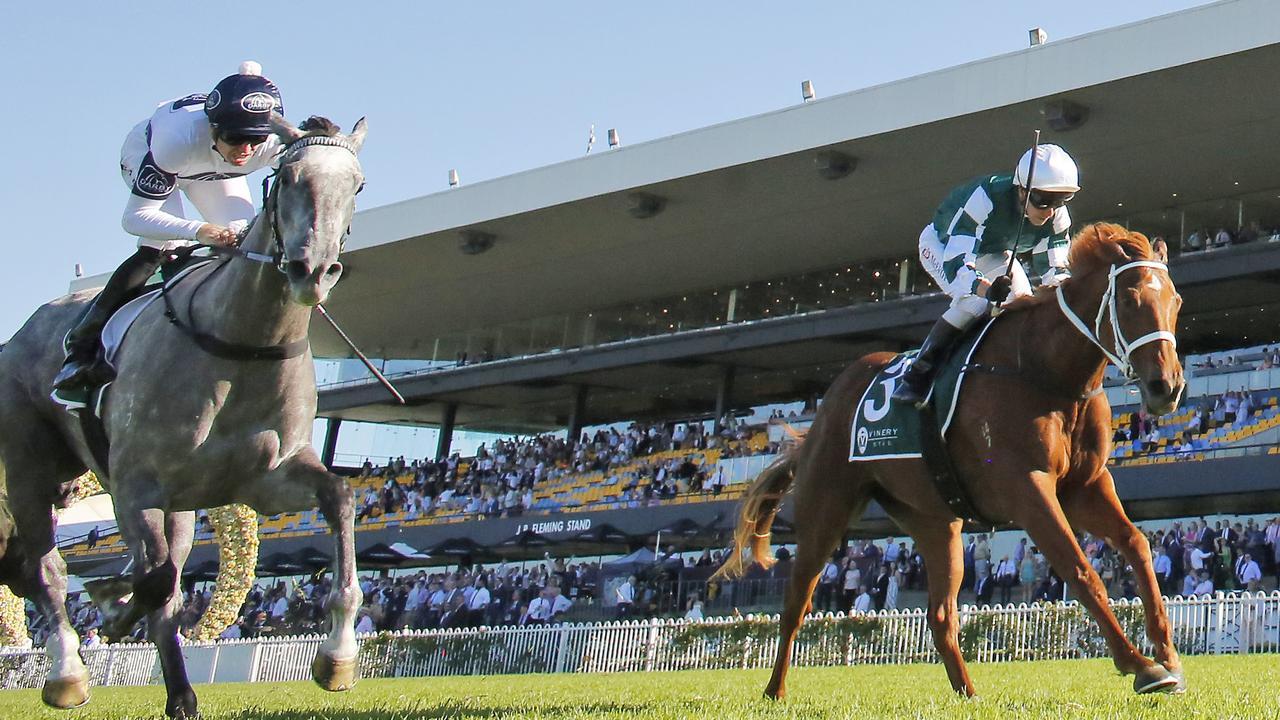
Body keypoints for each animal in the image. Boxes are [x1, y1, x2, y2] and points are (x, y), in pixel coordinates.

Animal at [1, 114, 371, 712]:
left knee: (161, 578)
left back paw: (178, 693)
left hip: (171, 506)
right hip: (32, 467)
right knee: (48, 569)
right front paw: (108, 608)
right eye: (287, 177)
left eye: (356, 185)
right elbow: (155, 582)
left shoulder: (263, 481)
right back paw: (67, 671)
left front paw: (337, 657)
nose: (311, 270)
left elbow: (339, 498)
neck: (241, 345)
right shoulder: (136, 486)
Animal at [716, 222, 1182, 696]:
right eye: (1130, 300)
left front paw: (1167, 654)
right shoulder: (1026, 487)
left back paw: (969, 693)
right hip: (825, 509)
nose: (1167, 387)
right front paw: (1140, 665)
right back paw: (774, 690)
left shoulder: (1085, 486)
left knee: (940, 614)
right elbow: (1080, 570)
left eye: (1175, 302)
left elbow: (1136, 544)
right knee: (796, 602)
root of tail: (827, 404)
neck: (1043, 370)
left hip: (935, 523)